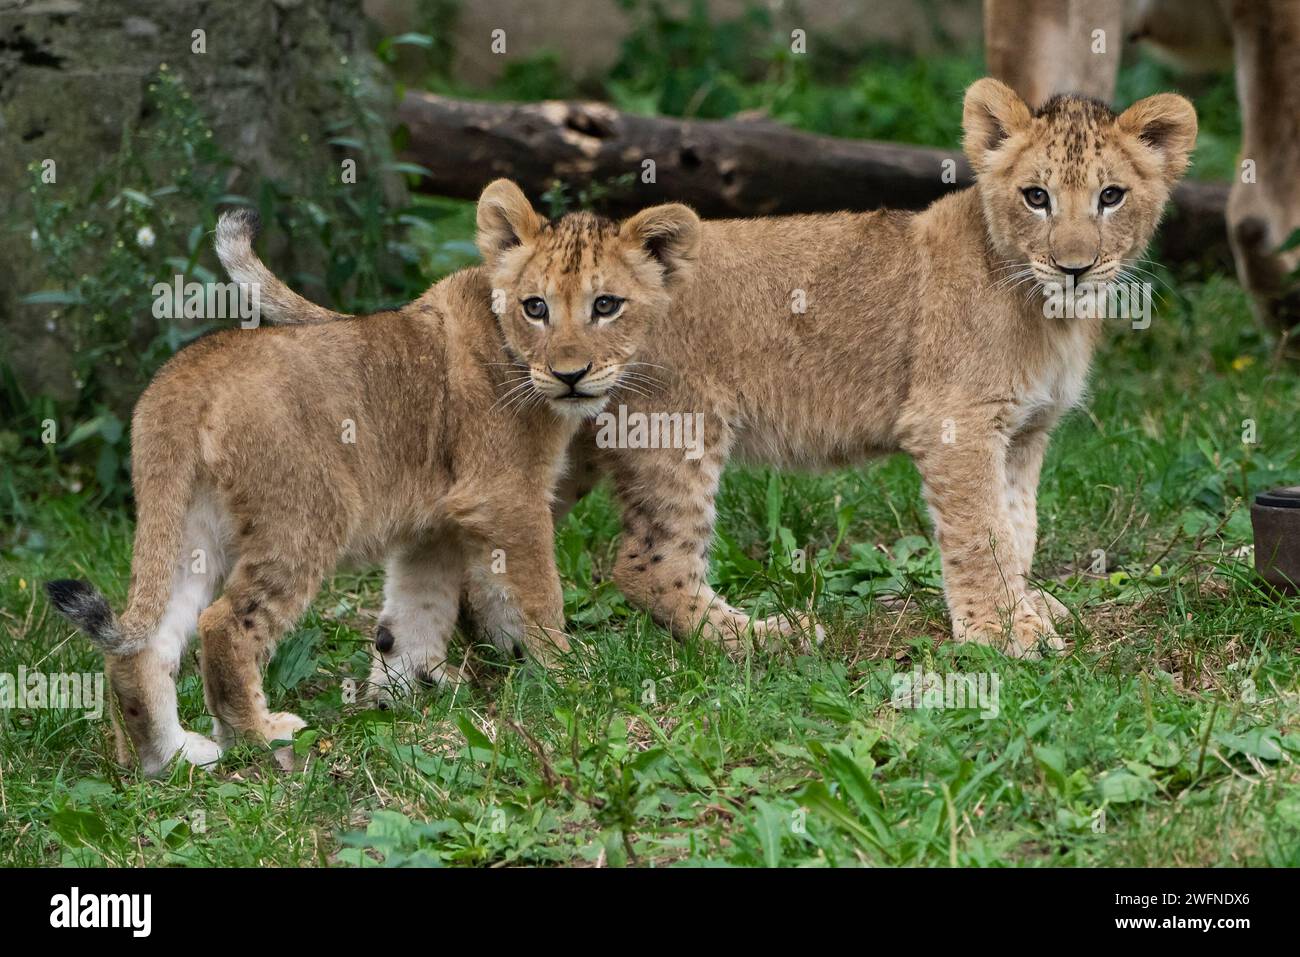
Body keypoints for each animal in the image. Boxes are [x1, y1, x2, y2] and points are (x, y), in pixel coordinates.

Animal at [44, 180, 700, 774]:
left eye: (606, 305)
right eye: (535, 306)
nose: (570, 375)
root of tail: (185, 378)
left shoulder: (438, 523)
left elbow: (417, 611)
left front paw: (408, 699)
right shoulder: (504, 497)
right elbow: (538, 595)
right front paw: (569, 678)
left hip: (188, 522)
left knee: (146, 644)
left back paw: (169, 758)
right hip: (307, 514)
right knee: (225, 625)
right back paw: (262, 737)